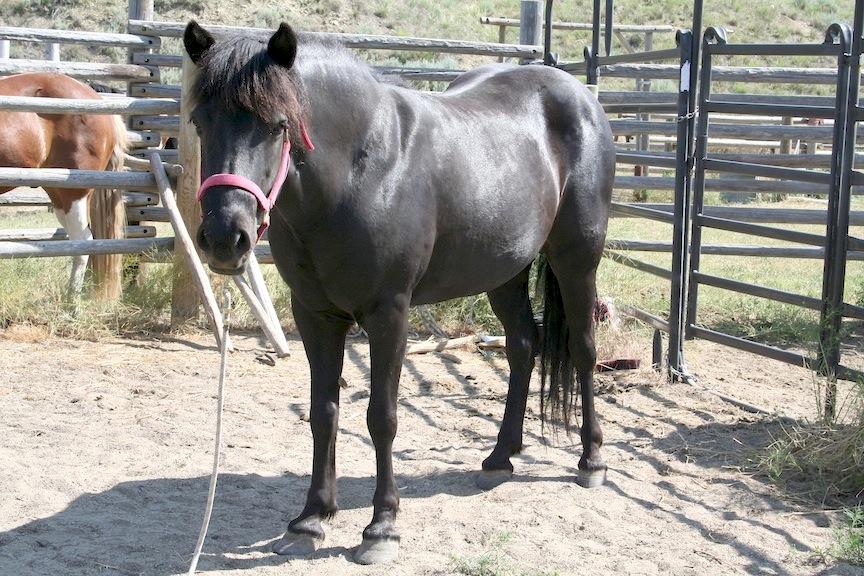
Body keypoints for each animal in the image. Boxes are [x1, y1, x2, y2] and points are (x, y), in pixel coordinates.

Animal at [183, 20, 616, 564]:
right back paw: (499, 457)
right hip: (504, 271)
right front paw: (310, 520)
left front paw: (381, 528)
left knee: (582, 350)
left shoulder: (389, 315)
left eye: (278, 125)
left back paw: (591, 460)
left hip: (576, 259)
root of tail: (579, 93)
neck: (360, 170)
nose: (225, 237)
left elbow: (381, 418)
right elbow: (323, 413)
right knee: (523, 346)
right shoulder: (314, 315)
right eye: (199, 122)